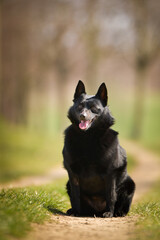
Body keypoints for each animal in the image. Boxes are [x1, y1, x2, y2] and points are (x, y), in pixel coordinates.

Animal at [62, 80, 135, 218]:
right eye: (80, 106)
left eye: (94, 108)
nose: (82, 116)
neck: (88, 138)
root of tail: (96, 211)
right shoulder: (72, 173)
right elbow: (75, 195)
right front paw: (75, 211)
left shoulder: (110, 173)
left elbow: (111, 195)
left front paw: (109, 212)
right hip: (68, 184)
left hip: (130, 185)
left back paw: (117, 212)